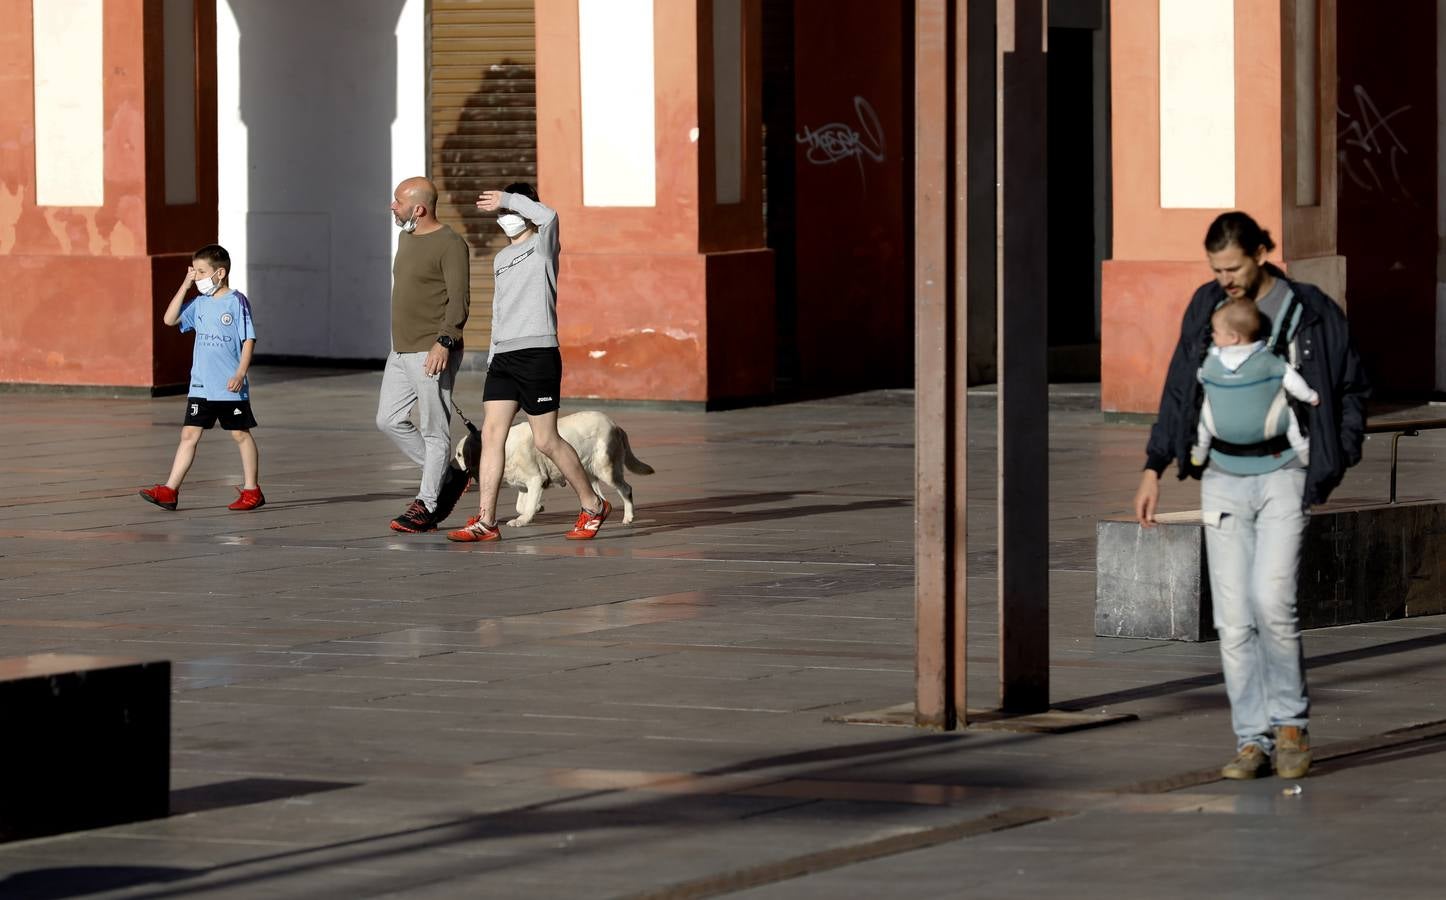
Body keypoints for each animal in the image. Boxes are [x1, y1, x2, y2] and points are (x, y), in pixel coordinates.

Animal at [451, 410, 656, 529]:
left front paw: (523, 519)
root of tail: (615, 425)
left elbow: (526, 505)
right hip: (588, 473)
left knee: (625, 489)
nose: (450, 465)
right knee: (600, 498)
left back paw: (628, 517)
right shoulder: (525, 485)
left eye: (459, 454)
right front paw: (537, 508)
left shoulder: (536, 479)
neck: (504, 447)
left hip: (605, 469)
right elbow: (521, 504)